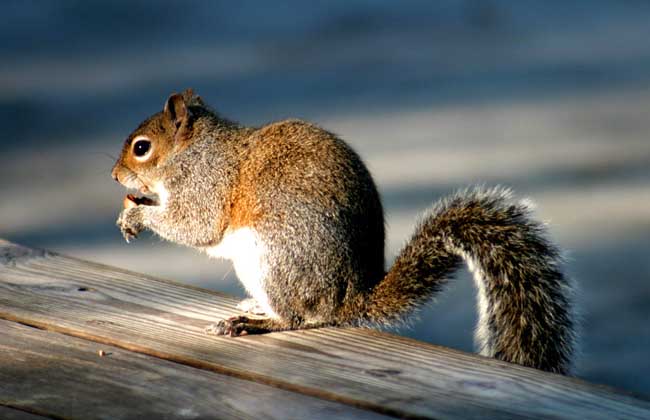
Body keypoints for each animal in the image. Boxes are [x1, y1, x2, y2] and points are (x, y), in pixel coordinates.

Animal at [111, 88, 572, 374]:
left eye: (141, 148)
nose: (115, 176)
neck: (194, 150)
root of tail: (347, 301)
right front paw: (130, 209)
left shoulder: (206, 183)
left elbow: (195, 224)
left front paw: (138, 216)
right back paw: (255, 307)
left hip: (272, 256)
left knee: (298, 318)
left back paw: (252, 323)